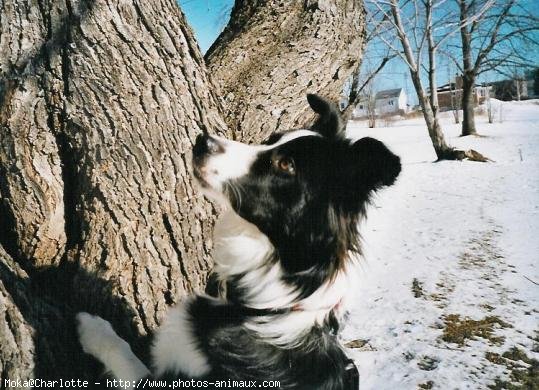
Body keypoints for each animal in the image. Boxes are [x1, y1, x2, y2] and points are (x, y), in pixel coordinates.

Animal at [78, 93, 402, 388]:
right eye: (272, 139)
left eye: (285, 165)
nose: (202, 141)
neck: (271, 305)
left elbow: (126, 357)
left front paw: (92, 327)